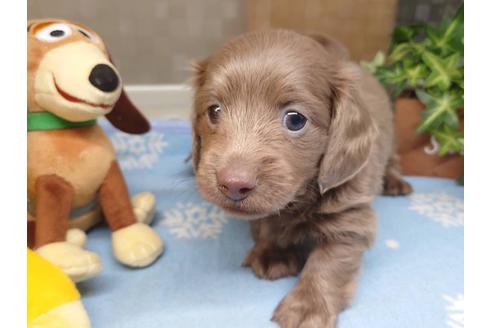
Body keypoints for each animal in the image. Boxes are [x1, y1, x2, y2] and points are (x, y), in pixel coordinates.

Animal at [192, 29, 412, 326]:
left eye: (295, 119)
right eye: (214, 111)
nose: (233, 185)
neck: (300, 197)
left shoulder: (351, 215)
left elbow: (330, 260)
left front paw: (309, 304)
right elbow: (268, 224)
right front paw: (274, 253)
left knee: (394, 160)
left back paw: (395, 182)